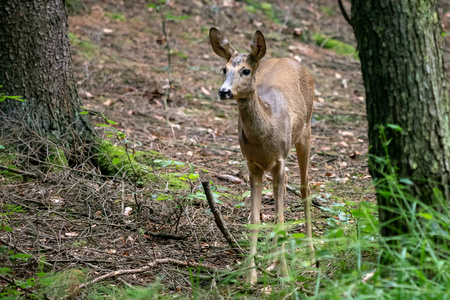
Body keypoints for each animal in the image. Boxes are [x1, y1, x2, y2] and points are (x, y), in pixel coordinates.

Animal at [209, 28, 314, 284]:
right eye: (224, 69)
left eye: (246, 70)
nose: (224, 91)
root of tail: (292, 60)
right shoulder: (252, 166)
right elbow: (256, 219)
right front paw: (251, 275)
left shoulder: (280, 162)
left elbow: (280, 218)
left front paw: (284, 275)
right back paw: (273, 261)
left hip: (305, 131)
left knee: (305, 188)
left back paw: (310, 252)